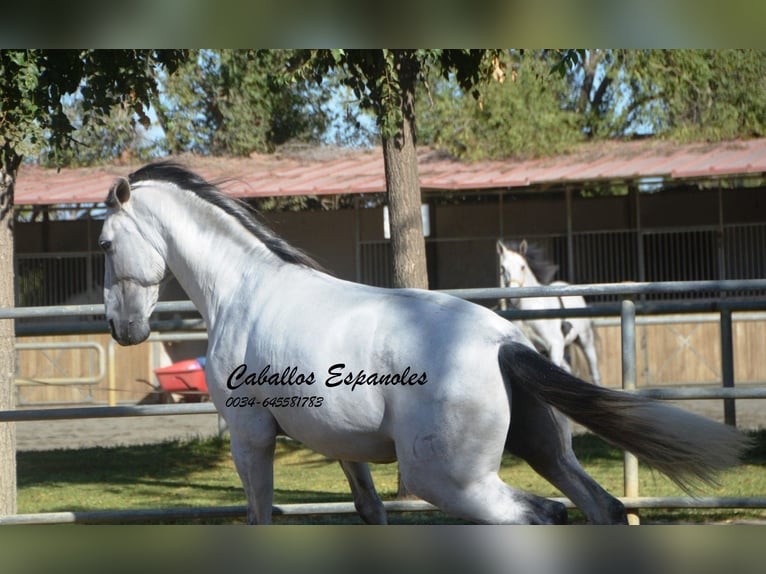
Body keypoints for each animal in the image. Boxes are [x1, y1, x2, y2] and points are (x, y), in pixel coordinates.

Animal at [500, 238, 604, 388]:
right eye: (502, 268)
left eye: (522, 267)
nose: (513, 298)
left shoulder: (555, 345)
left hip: (585, 340)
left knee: (593, 369)